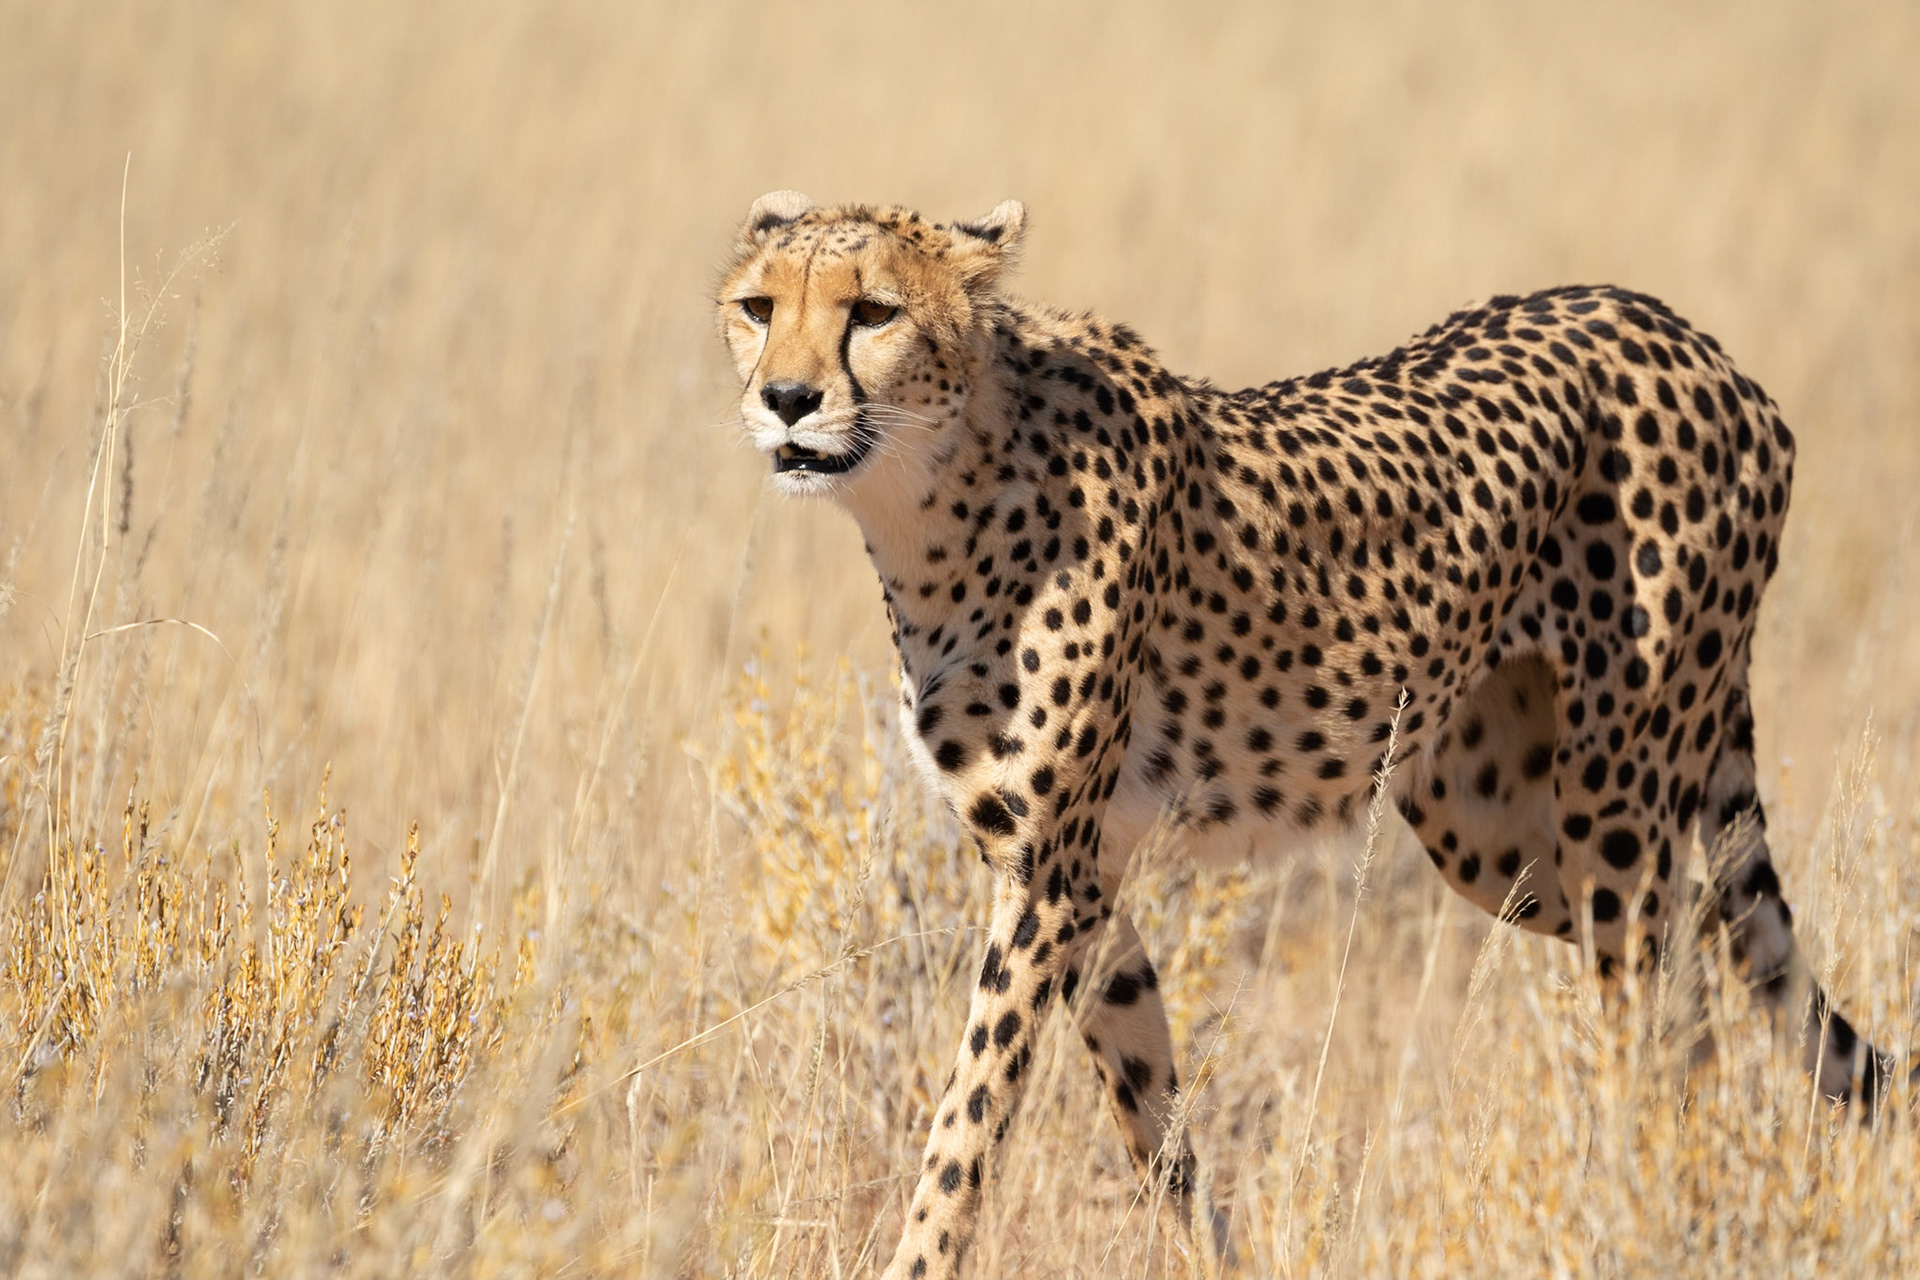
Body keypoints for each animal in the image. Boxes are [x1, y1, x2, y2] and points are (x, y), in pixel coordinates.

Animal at [714, 190, 1897, 1279]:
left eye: (873, 312)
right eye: (759, 307)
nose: (786, 400)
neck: (936, 491)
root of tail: (1683, 334)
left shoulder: (1049, 876)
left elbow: (969, 1114)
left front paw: (918, 1257)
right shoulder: (1077, 876)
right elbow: (1150, 1108)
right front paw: (1211, 1254)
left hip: (1614, 806)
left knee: (1654, 1016)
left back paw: (1649, 1209)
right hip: (1500, 835)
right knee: (1697, 959)